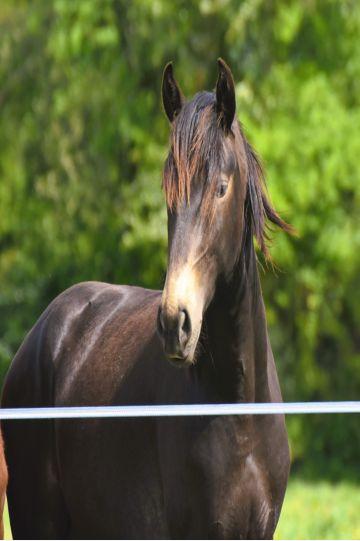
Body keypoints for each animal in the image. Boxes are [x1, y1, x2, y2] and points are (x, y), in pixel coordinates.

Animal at [1, 58, 292, 536]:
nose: (176, 322)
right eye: (167, 195)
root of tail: (43, 332)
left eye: (222, 187)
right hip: (39, 520)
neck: (238, 412)